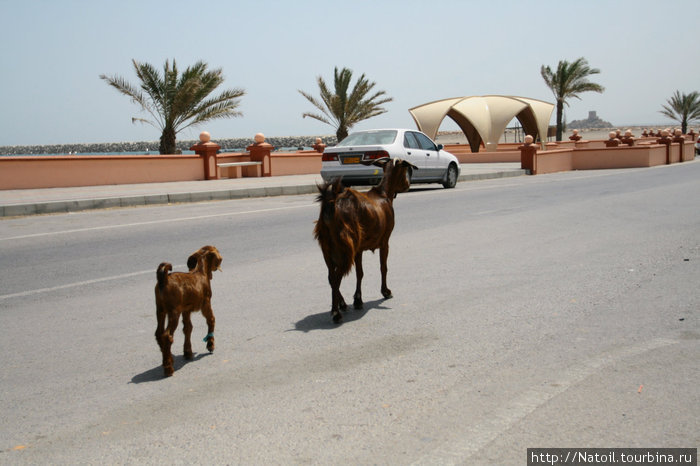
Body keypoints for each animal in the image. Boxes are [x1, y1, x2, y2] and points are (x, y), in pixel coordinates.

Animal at [154, 246, 223, 376]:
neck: (200, 271)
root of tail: (164, 280)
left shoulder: (186, 310)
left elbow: (188, 328)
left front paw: (187, 352)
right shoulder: (206, 303)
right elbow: (211, 319)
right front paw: (210, 344)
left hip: (160, 310)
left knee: (159, 333)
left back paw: (167, 358)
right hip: (174, 312)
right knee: (167, 335)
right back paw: (168, 367)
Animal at [312, 158, 416, 322]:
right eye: (404, 169)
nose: (407, 185)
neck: (384, 194)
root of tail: (332, 204)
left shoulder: (359, 248)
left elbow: (359, 273)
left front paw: (358, 300)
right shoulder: (385, 241)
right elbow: (383, 267)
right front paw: (385, 291)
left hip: (326, 247)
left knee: (331, 276)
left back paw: (342, 304)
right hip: (346, 247)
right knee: (336, 278)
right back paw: (336, 312)